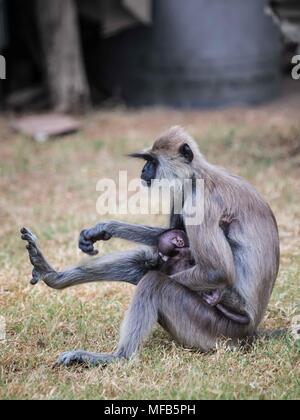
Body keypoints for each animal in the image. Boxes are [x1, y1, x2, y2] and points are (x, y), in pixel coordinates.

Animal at [20, 126, 278, 366]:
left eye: (152, 161)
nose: (143, 170)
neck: (198, 176)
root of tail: (251, 331)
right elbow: (172, 238)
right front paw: (104, 228)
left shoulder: (200, 203)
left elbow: (217, 271)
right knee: (143, 263)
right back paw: (52, 275)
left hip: (216, 330)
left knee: (154, 281)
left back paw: (118, 358)